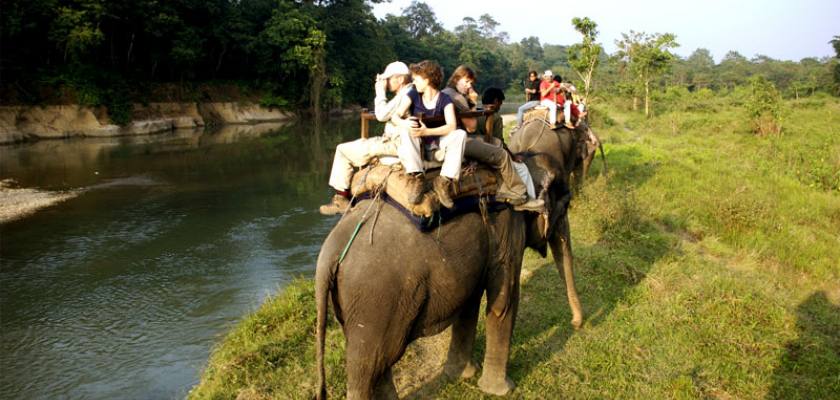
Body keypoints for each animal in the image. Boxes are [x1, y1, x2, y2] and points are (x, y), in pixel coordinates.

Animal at [316, 122, 584, 400]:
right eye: (565, 203)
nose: (577, 324)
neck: (525, 159)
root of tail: (330, 254)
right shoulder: (508, 230)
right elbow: (504, 300)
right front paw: (501, 390)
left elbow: (470, 302)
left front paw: (461, 375)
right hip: (375, 300)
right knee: (369, 365)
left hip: (355, 303)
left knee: (378, 362)